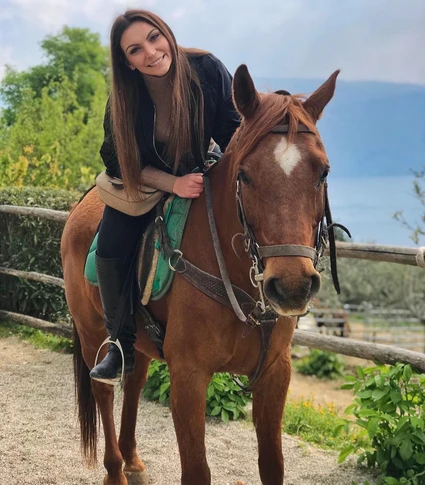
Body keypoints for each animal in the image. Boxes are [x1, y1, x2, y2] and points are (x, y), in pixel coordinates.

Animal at [60, 65, 338, 484]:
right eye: (245, 175)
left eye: (322, 172)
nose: (291, 286)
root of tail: (81, 205)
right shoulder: (189, 378)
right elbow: (196, 470)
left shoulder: (276, 375)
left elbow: (272, 466)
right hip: (93, 332)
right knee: (104, 391)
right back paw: (114, 470)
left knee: (135, 381)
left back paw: (132, 459)